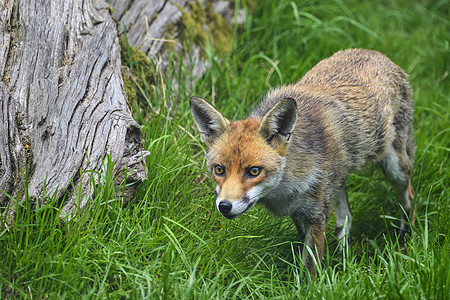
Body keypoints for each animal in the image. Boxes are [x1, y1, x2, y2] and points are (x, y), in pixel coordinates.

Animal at [189, 48, 414, 274]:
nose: (224, 206)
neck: (284, 188)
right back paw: (340, 260)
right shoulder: (298, 212)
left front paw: (313, 281)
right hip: (337, 181)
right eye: (219, 170)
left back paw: (405, 239)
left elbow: (310, 266)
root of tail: (374, 52)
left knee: (409, 195)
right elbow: (303, 252)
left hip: (395, 168)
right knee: (346, 217)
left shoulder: (317, 214)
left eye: (254, 171)